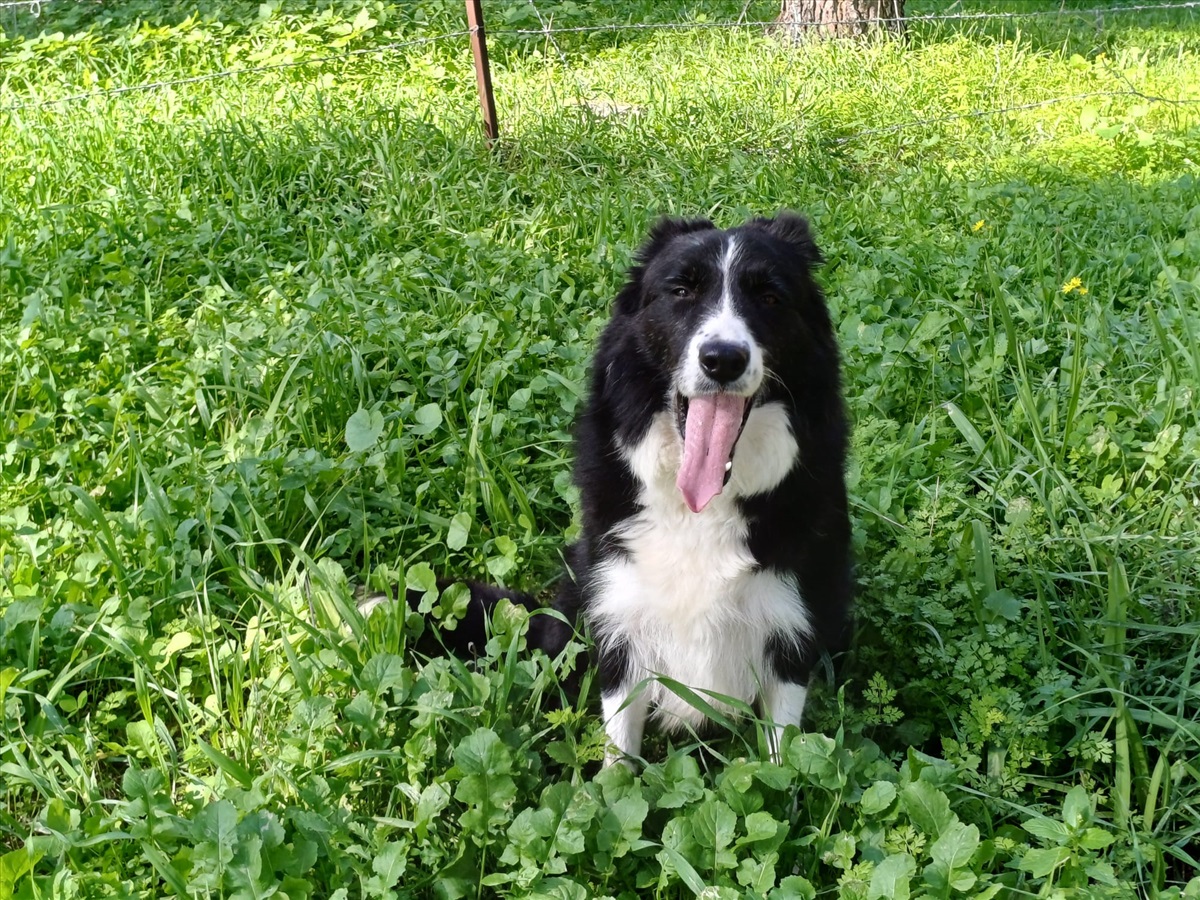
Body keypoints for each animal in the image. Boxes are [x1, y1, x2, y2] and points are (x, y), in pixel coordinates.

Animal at [374, 214, 854, 763]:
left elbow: (784, 758)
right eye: (681, 290)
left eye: (771, 296)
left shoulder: (793, 626)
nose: (723, 359)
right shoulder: (621, 618)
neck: (701, 508)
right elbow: (619, 754)